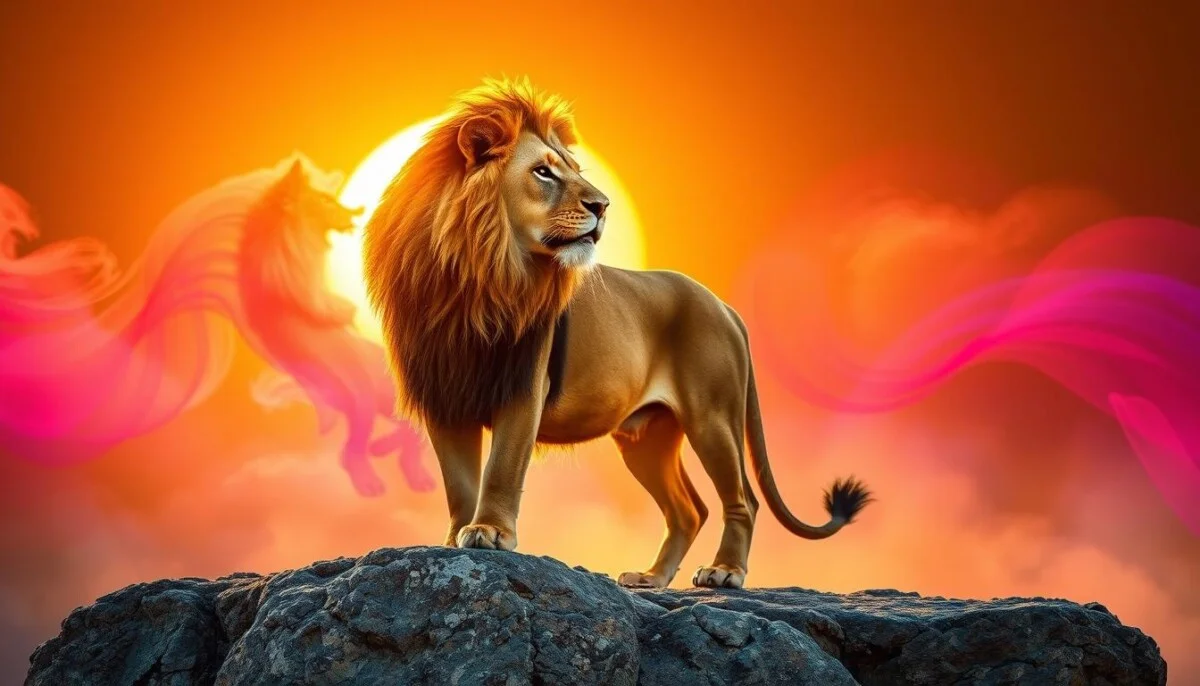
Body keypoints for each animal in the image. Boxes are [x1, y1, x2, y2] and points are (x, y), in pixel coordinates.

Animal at [363, 78, 872, 589]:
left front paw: (490, 532)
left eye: (574, 171)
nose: (603, 205)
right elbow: (459, 482)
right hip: (646, 438)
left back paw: (725, 572)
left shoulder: (524, 388)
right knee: (689, 510)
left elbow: (502, 467)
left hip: (714, 417)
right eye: (543, 172)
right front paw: (455, 541)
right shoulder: (445, 396)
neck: (474, 274)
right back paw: (652, 579)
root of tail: (723, 305)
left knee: (741, 501)